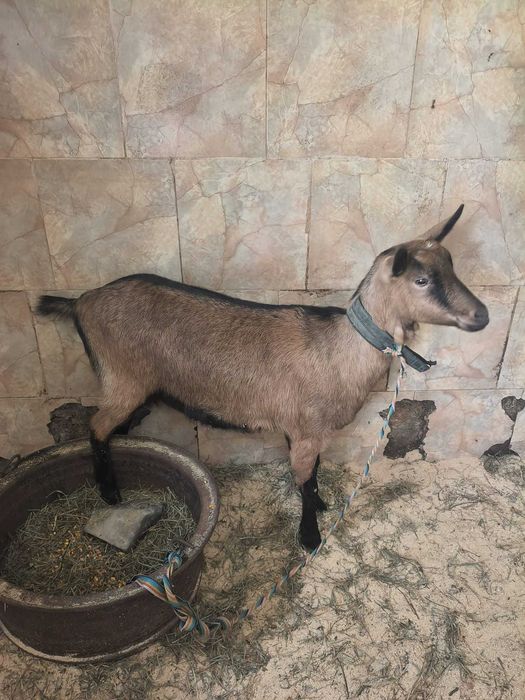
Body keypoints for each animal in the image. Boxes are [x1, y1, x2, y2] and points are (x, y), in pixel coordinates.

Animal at [37, 205, 488, 550]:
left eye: (452, 266)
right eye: (421, 279)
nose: (481, 315)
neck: (337, 350)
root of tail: (80, 302)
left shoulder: (306, 430)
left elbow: (315, 474)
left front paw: (320, 506)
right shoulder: (305, 430)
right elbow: (304, 481)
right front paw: (310, 537)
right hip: (122, 378)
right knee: (98, 425)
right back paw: (110, 493)